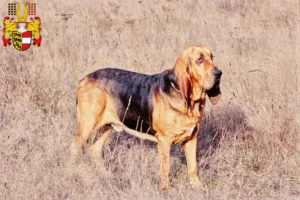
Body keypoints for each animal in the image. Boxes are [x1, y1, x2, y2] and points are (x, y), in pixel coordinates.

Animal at [69, 44, 220, 190]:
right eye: (199, 59)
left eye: (212, 57)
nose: (219, 73)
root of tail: (83, 80)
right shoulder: (164, 141)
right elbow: (165, 169)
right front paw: (166, 190)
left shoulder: (192, 138)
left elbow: (193, 166)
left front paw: (197, 186)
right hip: (87, 127)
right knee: (74, 149)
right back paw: (72, 171)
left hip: (107, 127)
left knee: (94, 150)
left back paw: (105, 175)